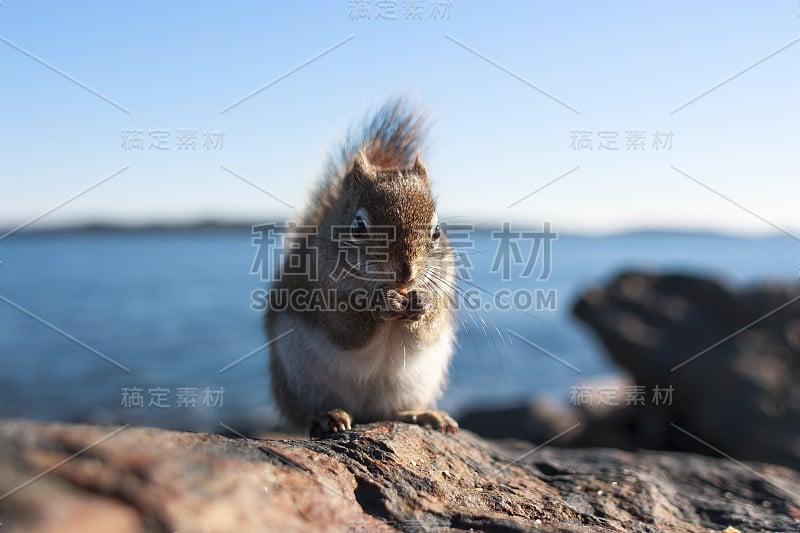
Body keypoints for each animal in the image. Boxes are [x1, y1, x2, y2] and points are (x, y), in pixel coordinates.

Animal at [268, 96, 460, 436]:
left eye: (437, 231)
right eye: (358, 227)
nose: (405, 273)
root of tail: (364, 412)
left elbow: (429, 327)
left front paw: (421, 302)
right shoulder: (319, 295)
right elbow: (346, 327)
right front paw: (380, 303)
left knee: (394, 411)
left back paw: (423, 414)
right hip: (298, 381)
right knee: (303, 413)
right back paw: (328, 415)